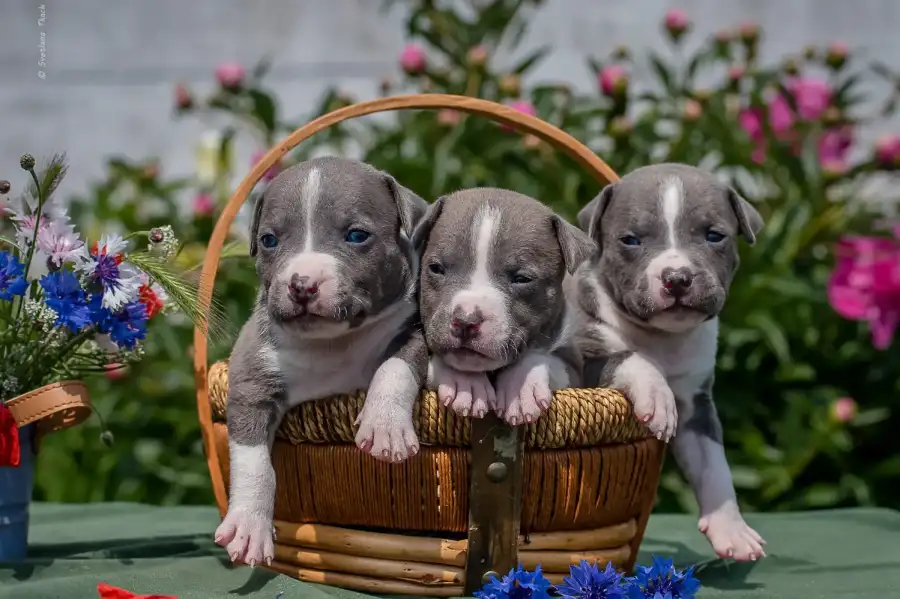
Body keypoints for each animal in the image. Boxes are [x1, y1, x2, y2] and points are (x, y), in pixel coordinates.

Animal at [217, 155, 428, 568]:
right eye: (269, 240)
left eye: (357, 235)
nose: (302, 284)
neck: (332, 343)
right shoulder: (252, 376)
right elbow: (253, 461)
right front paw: (249, 525)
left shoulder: (415, 328)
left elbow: (395, 367)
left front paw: (385, 426)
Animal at [412, 189, 596, 426]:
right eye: (435, 268)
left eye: (522, 278)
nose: (466, 320)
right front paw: (464, 383)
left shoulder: (574, 369)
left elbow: (542, 357)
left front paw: (520, 388)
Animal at [568, 163, 768, 564]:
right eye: (630, 240)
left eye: (714, 235)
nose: (677, 278)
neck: (662, 338)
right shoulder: (585, 356)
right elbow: (632, 357)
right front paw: (658, 397)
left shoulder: (697, 405)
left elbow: (715, 465)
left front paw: (731, 528)